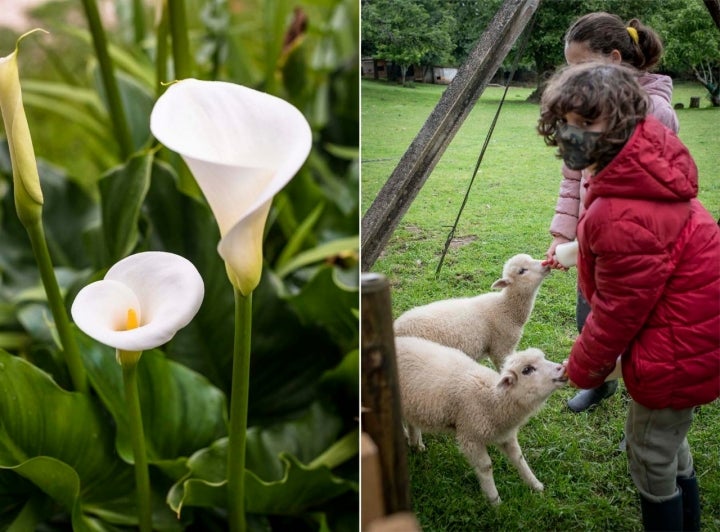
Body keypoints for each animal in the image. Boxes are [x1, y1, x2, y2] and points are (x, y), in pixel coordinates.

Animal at [396, 338, 564, 504]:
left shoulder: (505, 435)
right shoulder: (470, 436)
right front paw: (494, 500)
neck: (493, 400)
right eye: (527, 370)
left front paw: (535, 484)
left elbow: (519, 458)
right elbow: (485, 467)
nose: (562, 368)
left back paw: (416, 444)